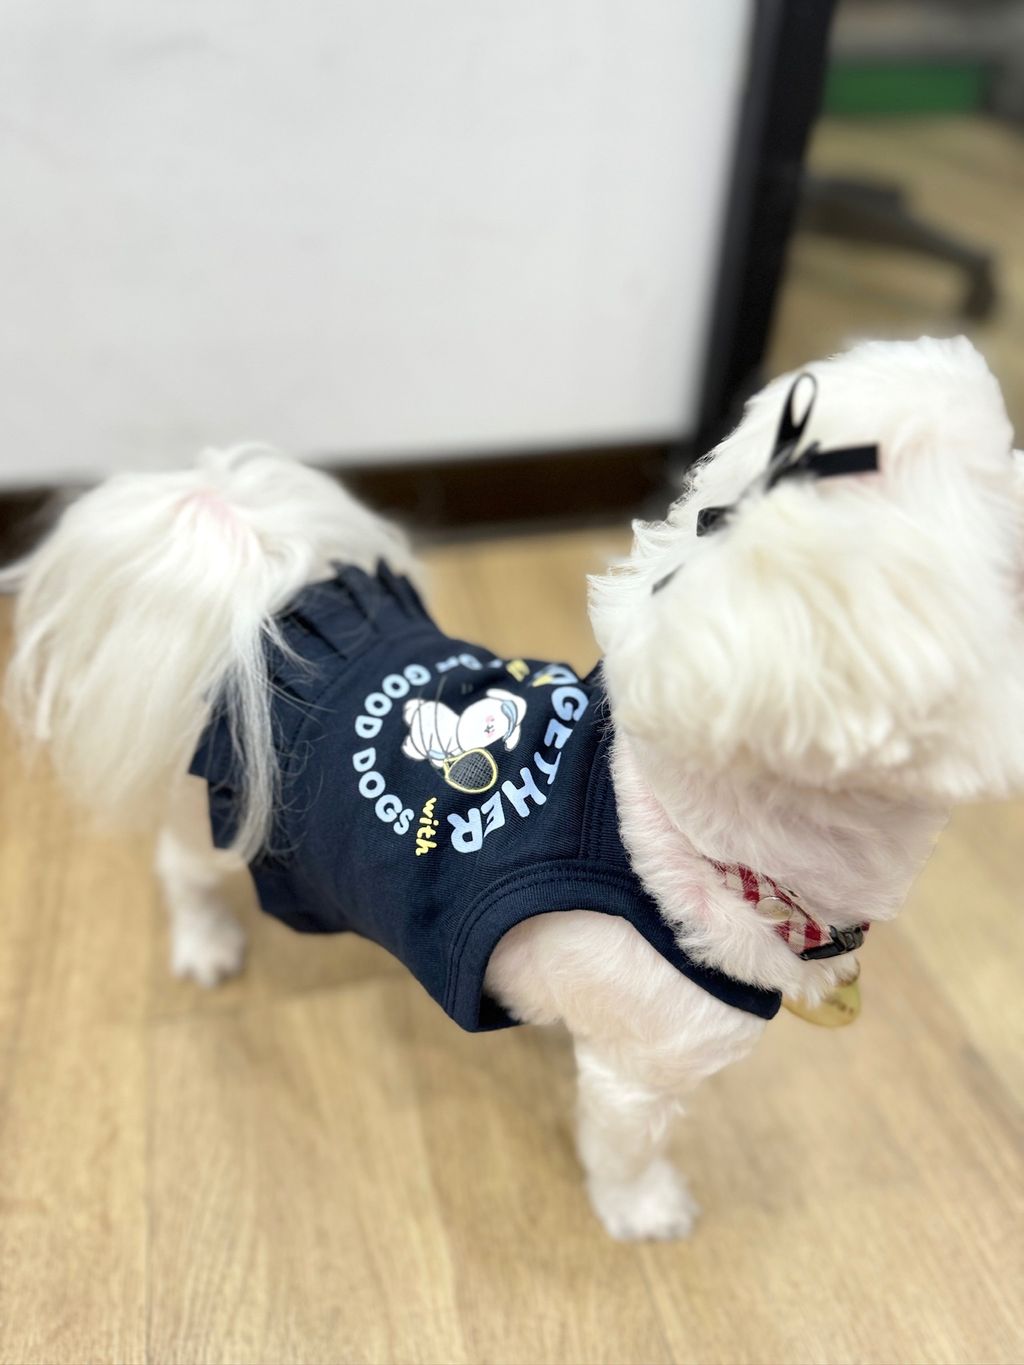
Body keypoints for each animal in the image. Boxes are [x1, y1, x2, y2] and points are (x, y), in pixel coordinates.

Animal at [4, 336, 1023, 1241]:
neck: (699, 846)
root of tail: (257, 603)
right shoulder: (641, 1070)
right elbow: (625, 1148)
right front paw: (646, 1212)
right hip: (227, 819)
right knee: (181, 870)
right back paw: (206, 943)